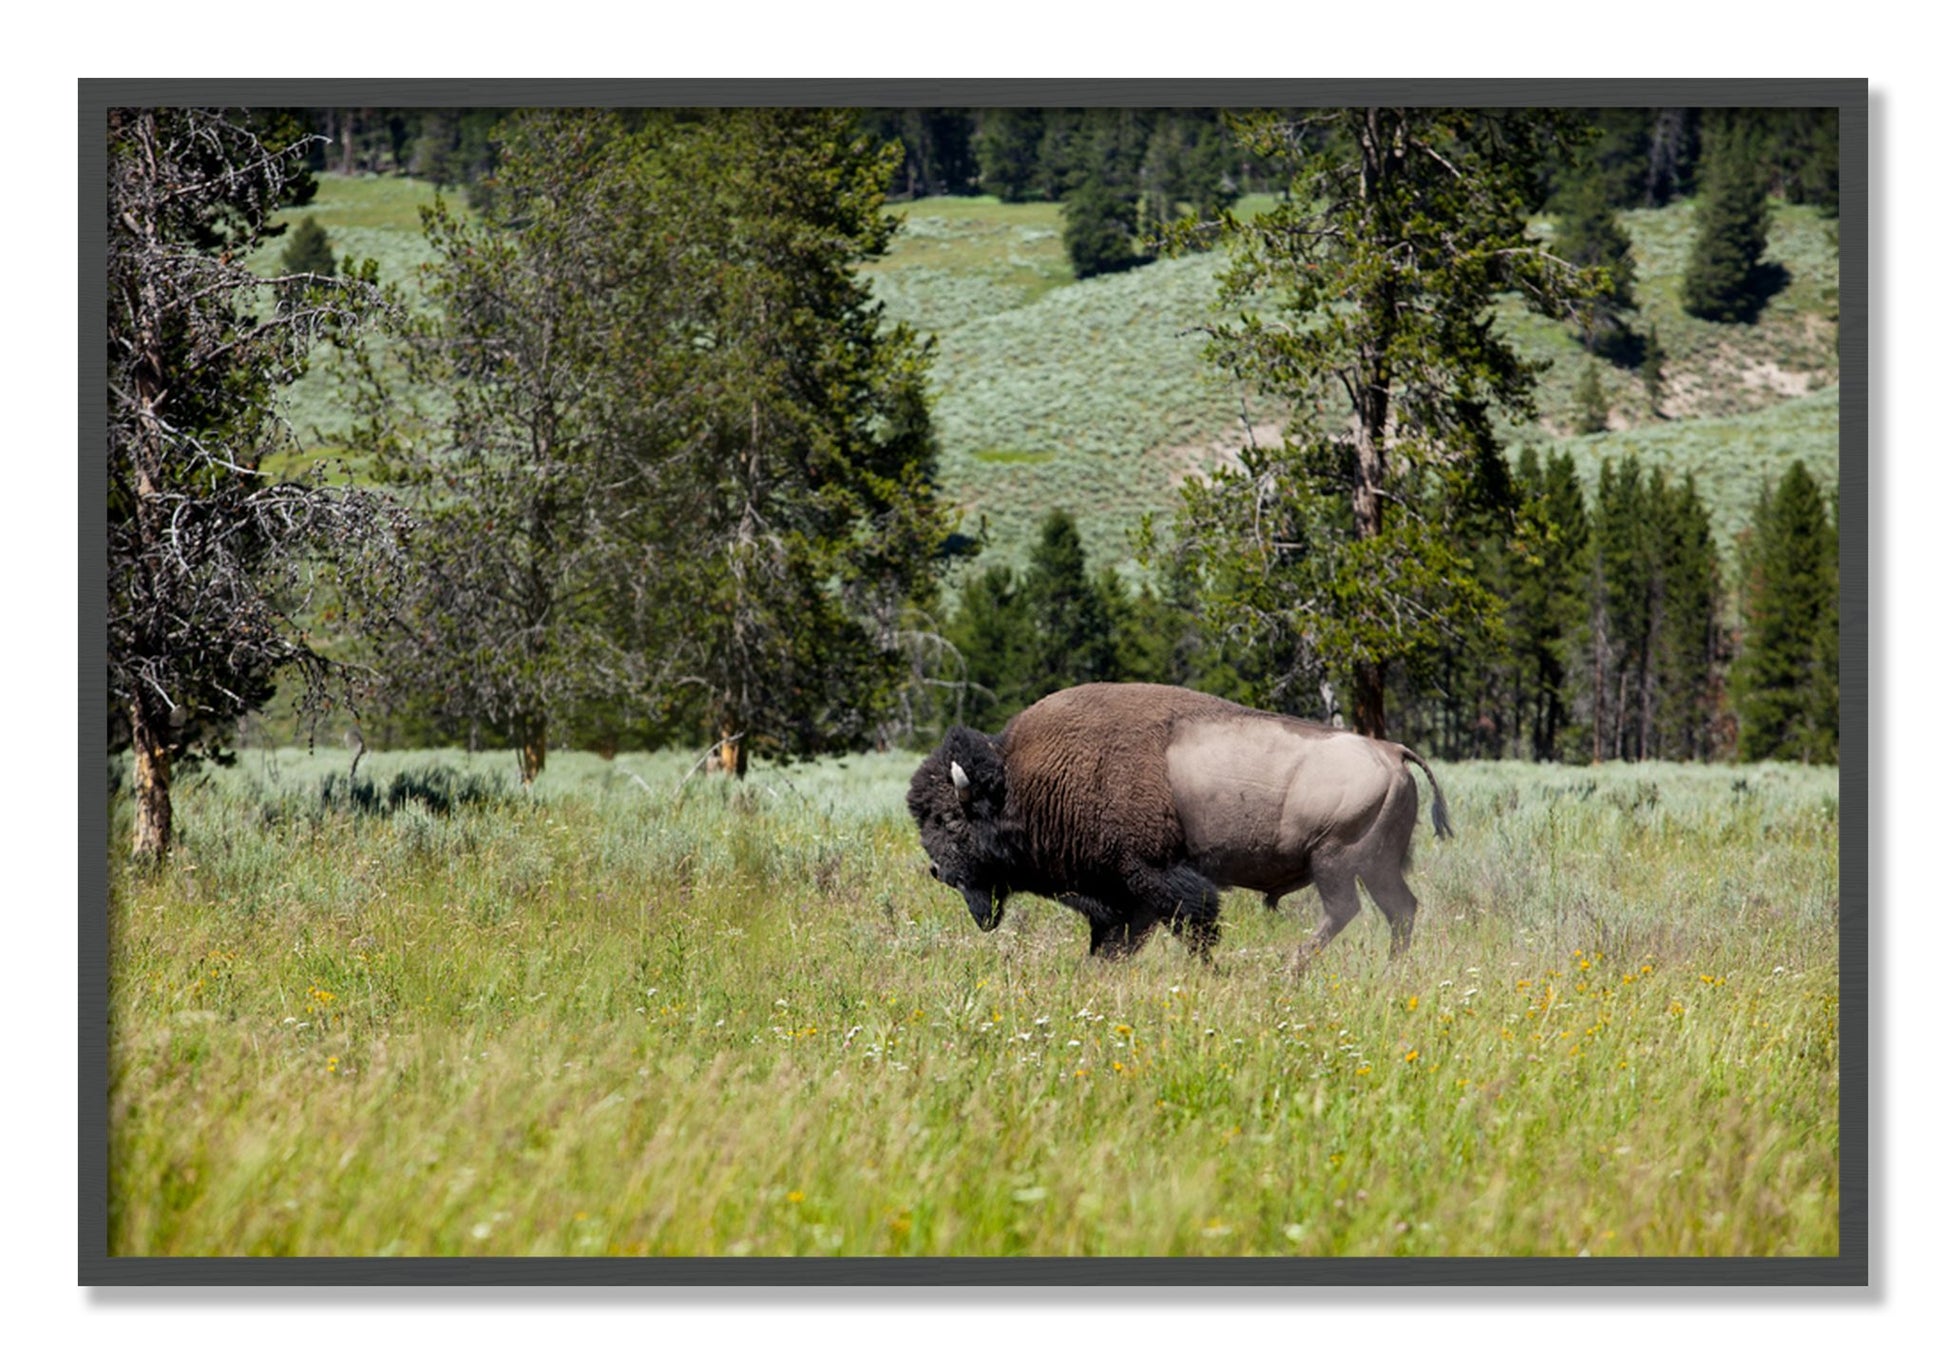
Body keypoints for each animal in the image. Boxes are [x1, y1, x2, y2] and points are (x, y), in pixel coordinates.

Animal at [907, 682, 1450, 966]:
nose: (938, 871)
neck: (1022, 780)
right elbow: (1116, 941)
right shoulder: (1122, 896)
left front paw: (1209, 970)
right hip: (1376, 866)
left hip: (1335, 861)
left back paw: (1290, 969)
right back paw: (1389, 969)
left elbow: (1194, 925)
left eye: (951, 820)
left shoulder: (1154, 877)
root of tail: (1391, 751)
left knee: (1345, 911)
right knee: (1400, 910)